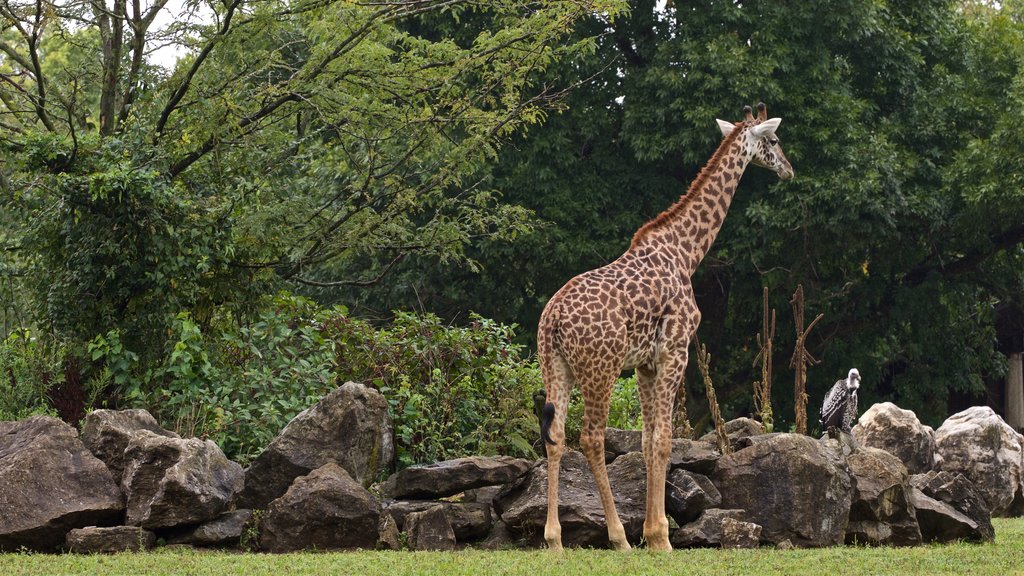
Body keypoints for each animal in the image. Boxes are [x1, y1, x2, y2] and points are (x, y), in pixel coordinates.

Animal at [540, 101, 794, 545]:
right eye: (775, 140)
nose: (789, 170)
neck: (686, 251)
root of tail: (552, 319)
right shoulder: (675, 349)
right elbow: (663, 440)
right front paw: (660, 537)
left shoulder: (643, 362)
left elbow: (645, 441)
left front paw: (652, 531)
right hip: (600, 368)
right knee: (590, 437)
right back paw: (618, 539)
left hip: (556, 366)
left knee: (555, 437)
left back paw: (554, 540)